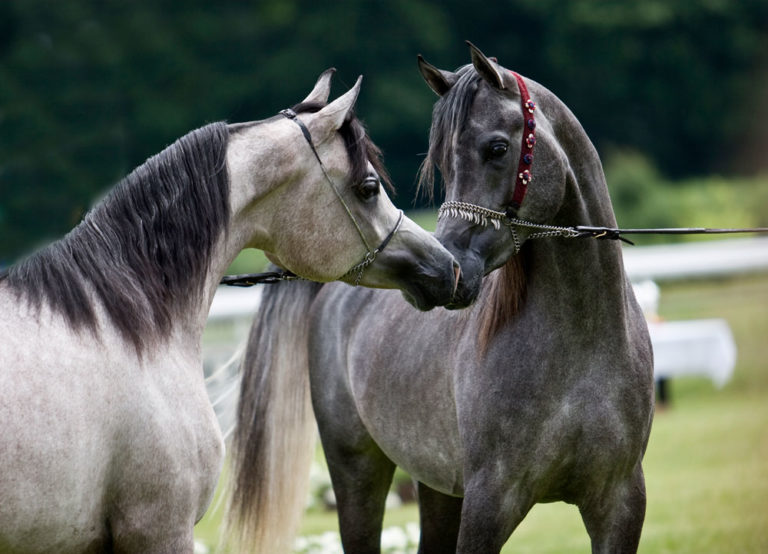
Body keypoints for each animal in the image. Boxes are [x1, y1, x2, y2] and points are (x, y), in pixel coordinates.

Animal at [230, 44, 654, 553]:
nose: (451, 269)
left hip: (437, 486)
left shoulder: (619, 503)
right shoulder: (490, 502)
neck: (581, 345)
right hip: (357, 472)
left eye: (497, 148)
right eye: (443, 161)